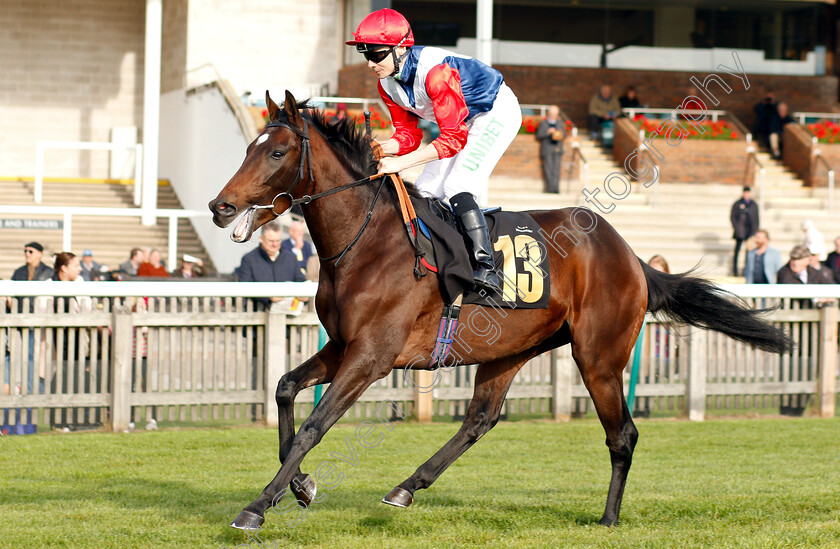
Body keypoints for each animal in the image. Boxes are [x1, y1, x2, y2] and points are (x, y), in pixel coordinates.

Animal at [208, 91, 788, 532]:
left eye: (277, 151)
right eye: (250, 147)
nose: (221, 206)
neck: (368, 241)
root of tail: (631, 256)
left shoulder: (372, 356)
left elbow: (315, 425)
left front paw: (257, 507)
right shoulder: (344, 345)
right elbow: (285, 389)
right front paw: (300, 486)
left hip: (598, 356)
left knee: (622, 434)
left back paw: (608, 518)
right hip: (510, 349)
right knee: (480, 419)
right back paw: (406, 488)